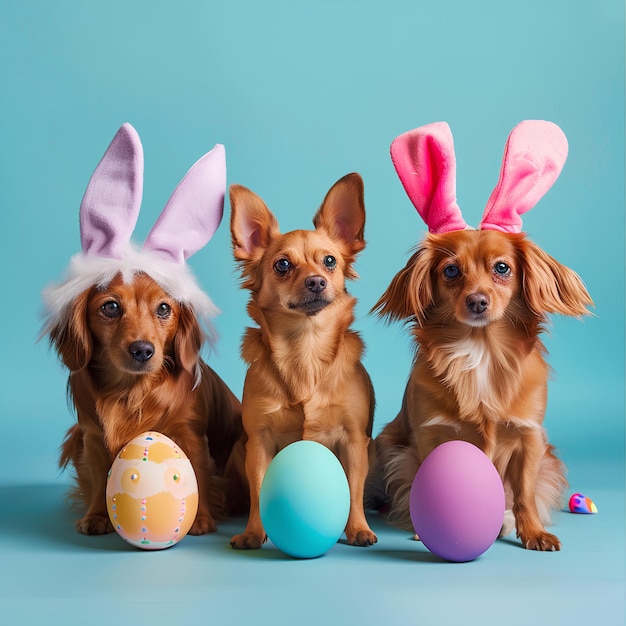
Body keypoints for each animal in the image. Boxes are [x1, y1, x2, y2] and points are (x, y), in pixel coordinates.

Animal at [229, 173, 376, 548]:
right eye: (282, 265)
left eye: (330, 261)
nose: (316, 281)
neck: (305, 348)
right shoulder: (259, 443)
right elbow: (259, 491)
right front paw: (253, 532)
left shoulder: (354, 442)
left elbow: (354, 490)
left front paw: (358, 528)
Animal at [368, 119, 592, 548]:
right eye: (451, 271)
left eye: (502, 268)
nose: (477, 301)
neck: (481, 348)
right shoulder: (432, 435)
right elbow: (428, 478)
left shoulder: (529, 438)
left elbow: (524, 491)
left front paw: (532, 532)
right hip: (385, 444)